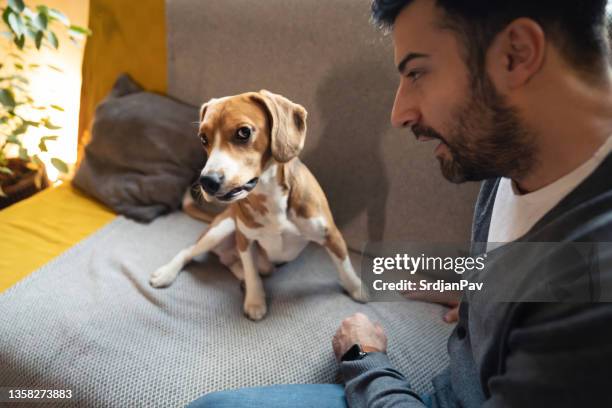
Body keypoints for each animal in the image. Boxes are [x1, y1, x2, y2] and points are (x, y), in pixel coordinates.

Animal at [150, 91, 366, 320]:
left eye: (243, 132)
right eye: (203, 138)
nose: (206, 181)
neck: (269, 194)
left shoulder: (331, 234)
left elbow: (344, 265)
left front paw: (356, 289)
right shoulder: (245, 240)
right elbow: (251, 272)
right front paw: (255, 301)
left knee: (233, 263)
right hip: (222, 229)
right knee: (190, 252)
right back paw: (166, 273)